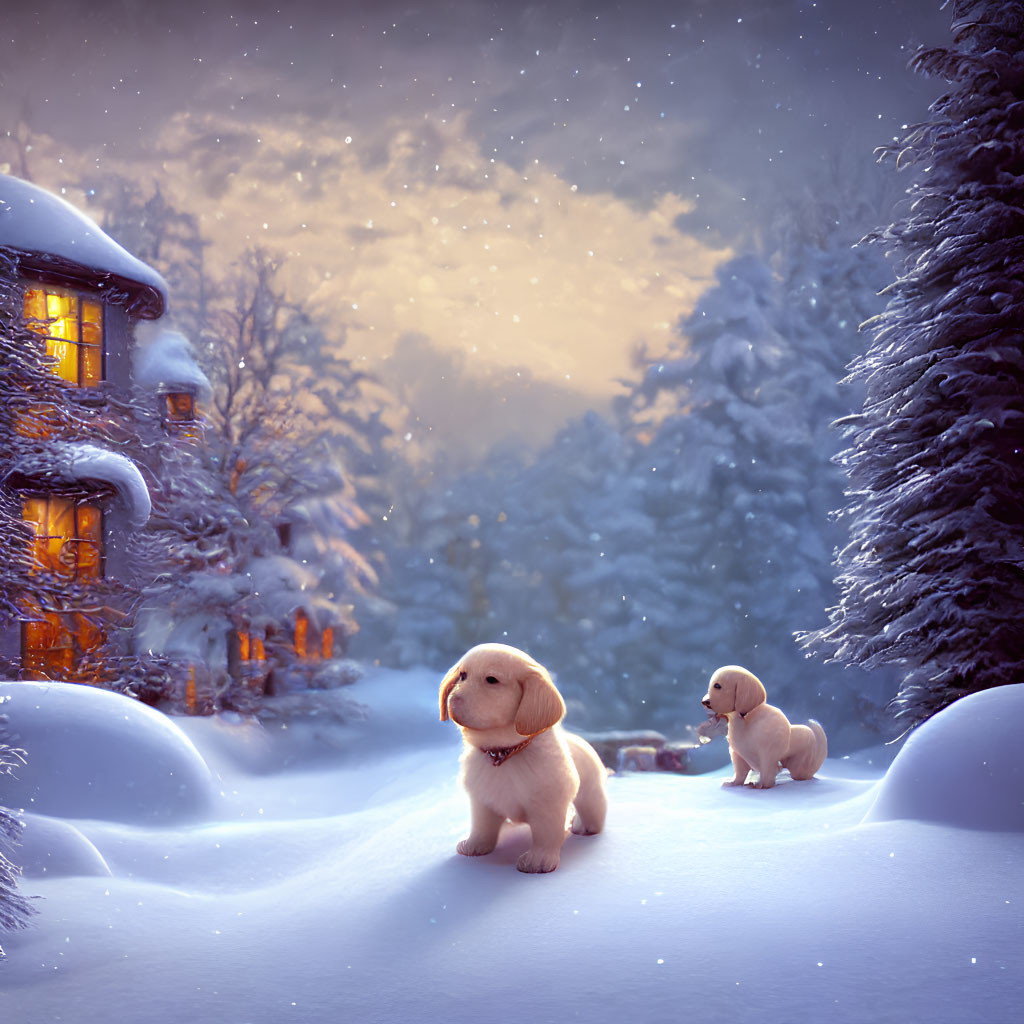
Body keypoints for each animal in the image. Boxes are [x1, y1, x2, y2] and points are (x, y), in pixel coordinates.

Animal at [436, 638, 602, 872]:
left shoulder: (547, 805)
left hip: (591, 791)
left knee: (592, 809)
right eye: (462, 676)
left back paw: (585, 827)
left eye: (491, 680)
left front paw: (539, 861)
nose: (453, 700)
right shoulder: (482, 802)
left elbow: (546, 835)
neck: (503, 752)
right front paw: (474, 846)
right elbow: (482, 828)